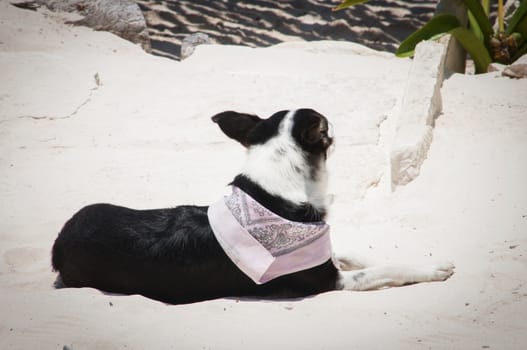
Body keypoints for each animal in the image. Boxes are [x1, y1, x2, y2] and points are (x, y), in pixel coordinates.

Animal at [54, 108, 458, 304]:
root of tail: (58, 244)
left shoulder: (324, 251)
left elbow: (359, 253)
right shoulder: (330, 280)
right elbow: (388, 269)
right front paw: (432, 269)